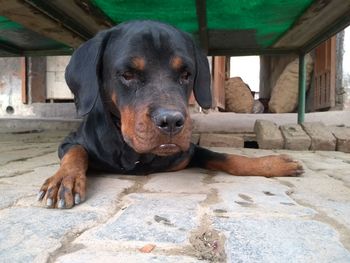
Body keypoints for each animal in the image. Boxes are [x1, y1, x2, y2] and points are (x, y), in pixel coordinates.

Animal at [37, 20, 302, 209]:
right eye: (127, 74)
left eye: (186, 74)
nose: (172, 121)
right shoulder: (71, 141)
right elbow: (75, 152)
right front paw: (64, 178)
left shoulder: (188, 151)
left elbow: (228, 157)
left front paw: (272, 163)